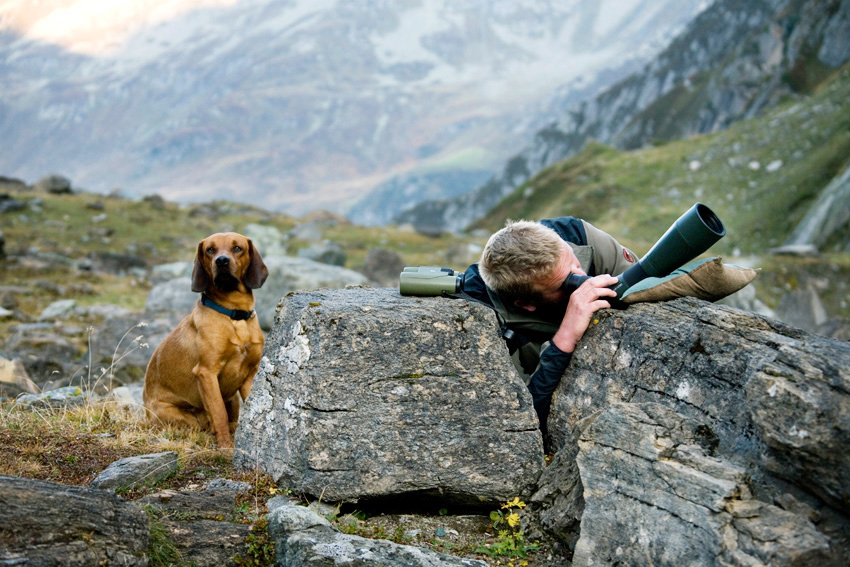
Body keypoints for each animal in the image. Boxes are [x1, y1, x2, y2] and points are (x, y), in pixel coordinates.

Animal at [142, 232, 268, 448]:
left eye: (237, 248)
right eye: (210, 249)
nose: (222, 261)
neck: (234, 315)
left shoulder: (250, 375)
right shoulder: (206, 373)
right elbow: (218, 413)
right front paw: (226, 446)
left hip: (233, 399)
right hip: (178, 415)